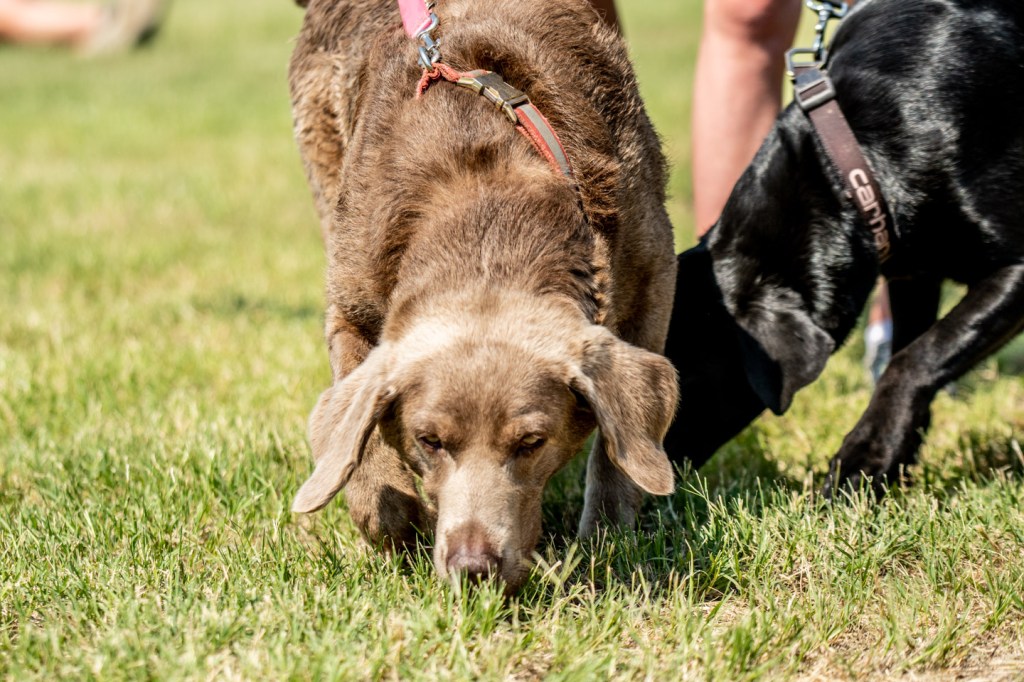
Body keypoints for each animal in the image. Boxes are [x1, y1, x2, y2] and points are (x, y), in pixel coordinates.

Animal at [287, 0, 679, 590]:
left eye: (531, 443)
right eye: (428, 441)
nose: (473, 567)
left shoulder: (652, 272)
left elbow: (617, 451)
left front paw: (607, 538)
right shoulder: (352, 298)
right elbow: (361, 436)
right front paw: (398, 522)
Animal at [665, 0, 1024, 496]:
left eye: (682, 381)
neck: (852, 164)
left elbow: (919, 356)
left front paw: (862, 459)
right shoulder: (914, 272)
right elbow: (916, 350)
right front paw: (895, 459)